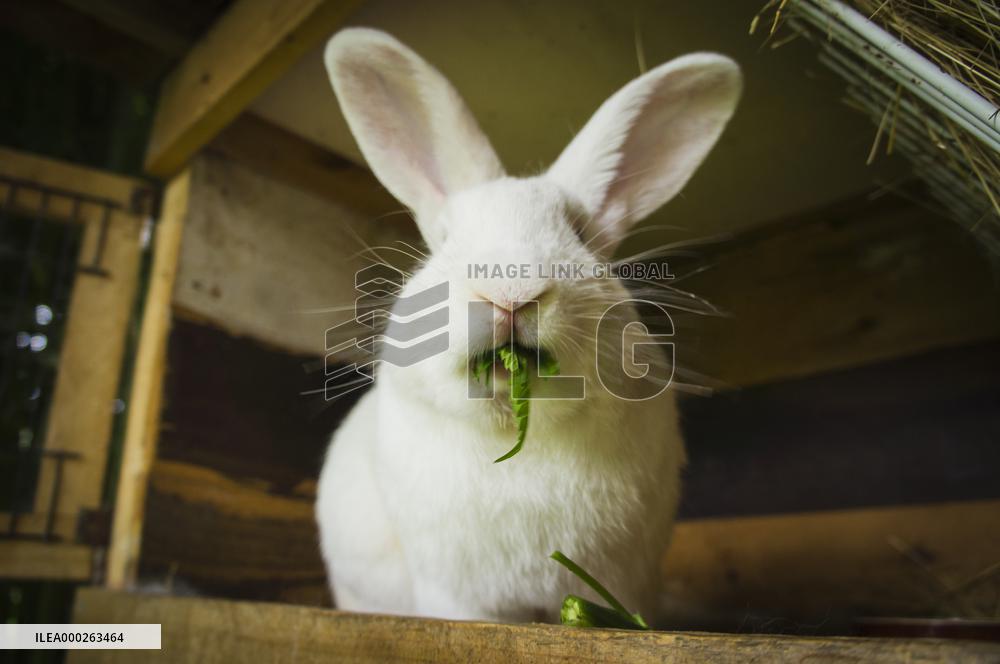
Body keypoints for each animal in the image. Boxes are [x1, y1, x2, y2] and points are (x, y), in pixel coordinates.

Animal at [316, 27, 741, 623]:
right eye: (445, 239)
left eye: (581, 235)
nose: (510, 295)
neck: (517, 435)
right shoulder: (456, 594)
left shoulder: (625, 578)